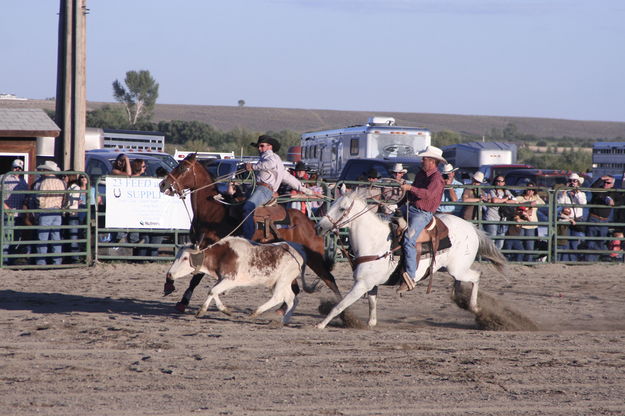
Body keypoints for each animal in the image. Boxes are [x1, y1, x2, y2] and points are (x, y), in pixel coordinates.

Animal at [166, 237, 310, 324]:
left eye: (185, 258)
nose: (169, 274)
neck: (222, 256)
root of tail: (300, 252)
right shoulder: (222, 279)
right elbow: (214, 292)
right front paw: (222, 310)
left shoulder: (230, 280)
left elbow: (212, 291)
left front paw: (206, 310)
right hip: (280, 282)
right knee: (291, 299)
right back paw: (284, 320)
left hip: (282, 280)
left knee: (279, 297)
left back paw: (255, 312)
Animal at [314, 188, 504, 328]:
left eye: (342, 208)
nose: (319, 227)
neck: (374, 241)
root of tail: (471, 227)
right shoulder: (371, 284)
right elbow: (372, 303)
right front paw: (371, 323)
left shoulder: (362, 284)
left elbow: (339, 305)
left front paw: (321, 324)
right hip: (450, 269)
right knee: (461, 282)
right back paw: (460, 299)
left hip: (458, 269)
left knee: (476, 276)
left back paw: (474, 306)